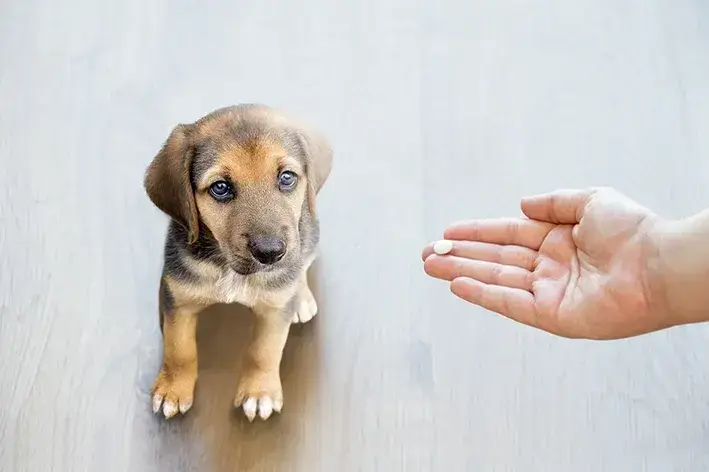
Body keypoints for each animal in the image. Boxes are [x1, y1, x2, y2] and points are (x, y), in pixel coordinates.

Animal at [143, 105, 332, 422]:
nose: (271, 253)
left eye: (287, 177)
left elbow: (264, 350)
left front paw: (259, 392)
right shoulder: (178, 298)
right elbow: (179, 349)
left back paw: (302, 297)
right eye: (220, 187)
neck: (229, 268)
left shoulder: (275, 309)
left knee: (304, 262)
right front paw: (173, 389)